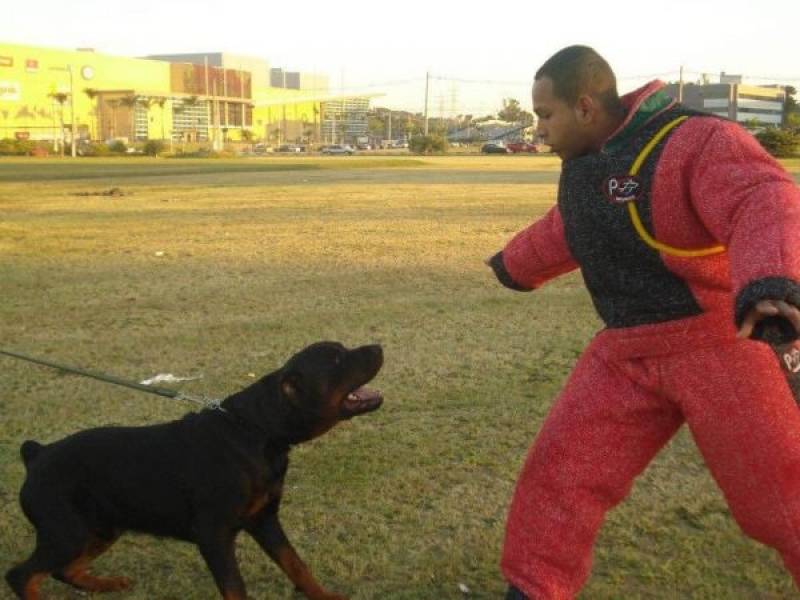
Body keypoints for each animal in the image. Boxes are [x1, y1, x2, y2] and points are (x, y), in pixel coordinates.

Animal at [3, 342, 384, 600]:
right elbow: (235, 588)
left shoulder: (265, 520)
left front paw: (324, 596)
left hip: (100, 528)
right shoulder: (214, 535)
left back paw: (105, 584)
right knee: (22, 575)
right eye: (336, 359)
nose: (378, 346)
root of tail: (37, 454)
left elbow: (296, 565)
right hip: (67, 531)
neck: (255, 429)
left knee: (63, 570)